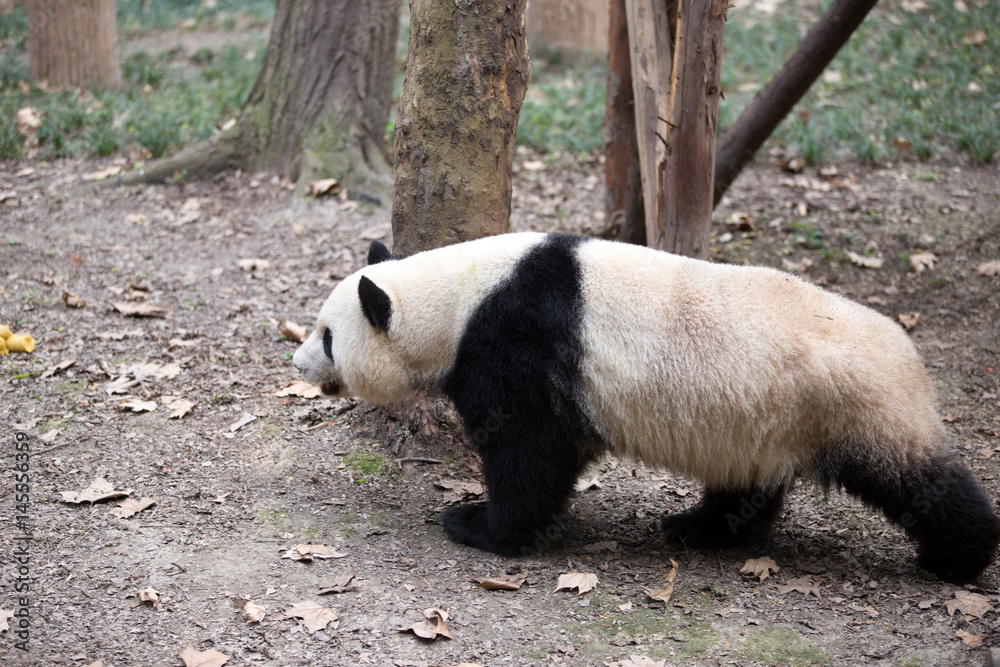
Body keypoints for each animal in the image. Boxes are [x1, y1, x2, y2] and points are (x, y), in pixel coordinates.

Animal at [292, 234, 1000, 584]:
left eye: (327, 336)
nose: (296, 365)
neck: (458, 295)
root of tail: (910, 355)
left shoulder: (520, 345)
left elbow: (531, 453)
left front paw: (480, 526)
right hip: (762, 420)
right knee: (745, 486)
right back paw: (698, 528)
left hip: (852, 405)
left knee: (918, 479)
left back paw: (959, 557)